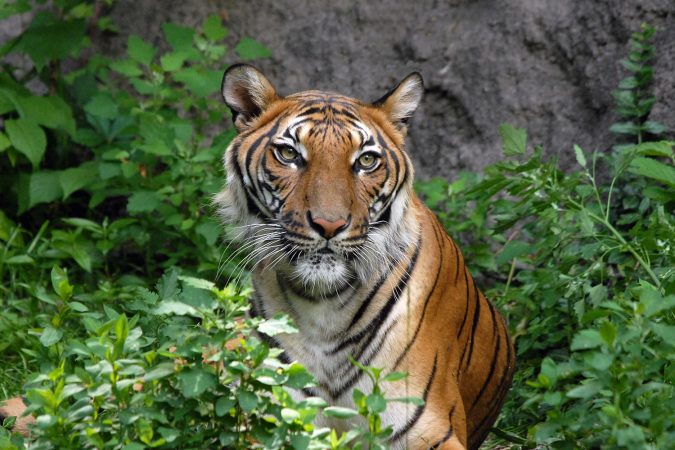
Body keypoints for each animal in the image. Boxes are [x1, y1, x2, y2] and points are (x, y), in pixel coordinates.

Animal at [214, 64, 516, 450]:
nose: (329, 224)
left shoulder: (429, 426)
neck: (322, 306)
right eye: (290, 155)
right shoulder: (263, 419)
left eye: (367, 160)